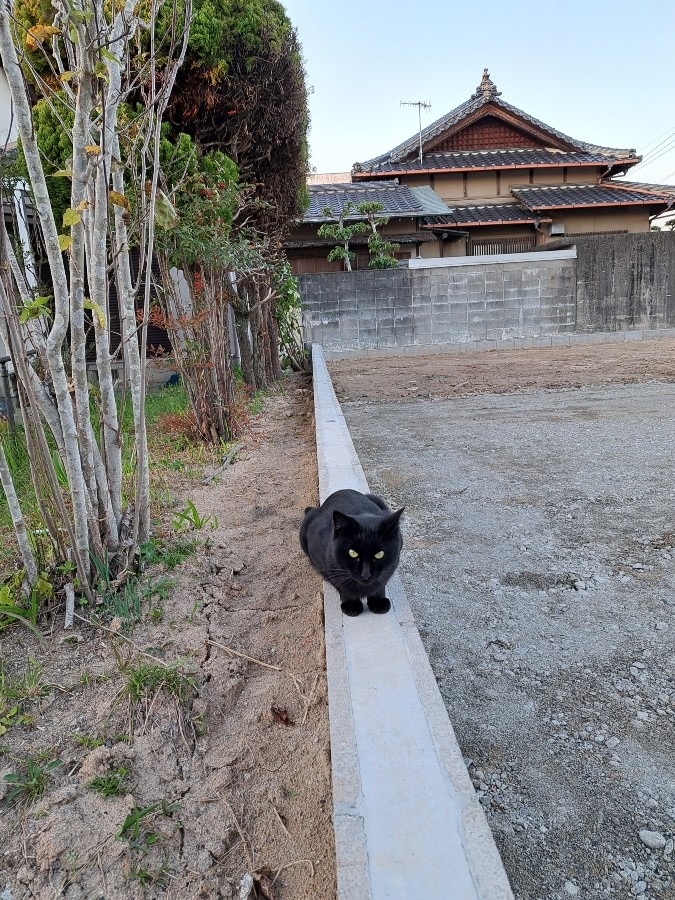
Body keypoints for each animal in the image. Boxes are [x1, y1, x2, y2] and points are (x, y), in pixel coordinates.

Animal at [300, 488, 402, 616]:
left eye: (379, 554)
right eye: (352, 553)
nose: (366, 574)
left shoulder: (392, 565)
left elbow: (381, 583)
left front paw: (378, 601)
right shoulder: (324, 564)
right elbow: (341, 584)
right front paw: (351, 605)